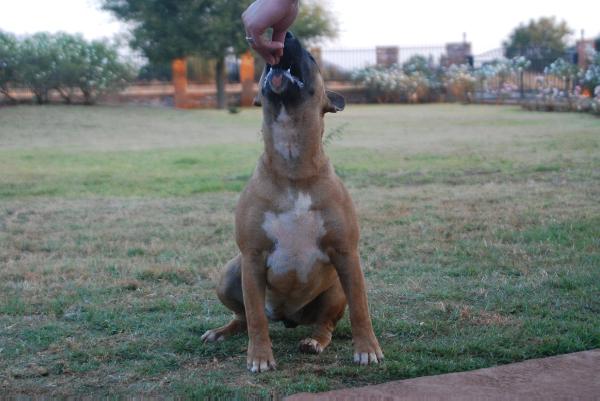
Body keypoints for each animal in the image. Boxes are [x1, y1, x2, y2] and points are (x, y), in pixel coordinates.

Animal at [200, 32, 380, 372]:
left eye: (310, 56)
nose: (284, 36)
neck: (293, 167)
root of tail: (287, 317)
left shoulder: (347, 254)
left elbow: (361, 308)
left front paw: (368, 349)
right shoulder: (252, 258)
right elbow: (255, 317)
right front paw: (259, 357)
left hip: (335, 288)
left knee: (326, 325)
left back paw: (314, 341)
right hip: (231, 273)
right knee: (245, 316)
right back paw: (223, 331)